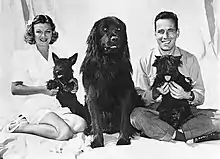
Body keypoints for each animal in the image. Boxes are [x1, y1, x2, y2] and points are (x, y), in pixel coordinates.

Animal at [80, 16, 144, 148]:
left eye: (119, 29)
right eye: (104, 29)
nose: (115, 38)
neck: (108, 63)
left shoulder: (125, 94)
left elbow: (124, 119)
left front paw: (123, 139)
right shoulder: (91, 96)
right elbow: (96, 121)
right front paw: (97, 141)